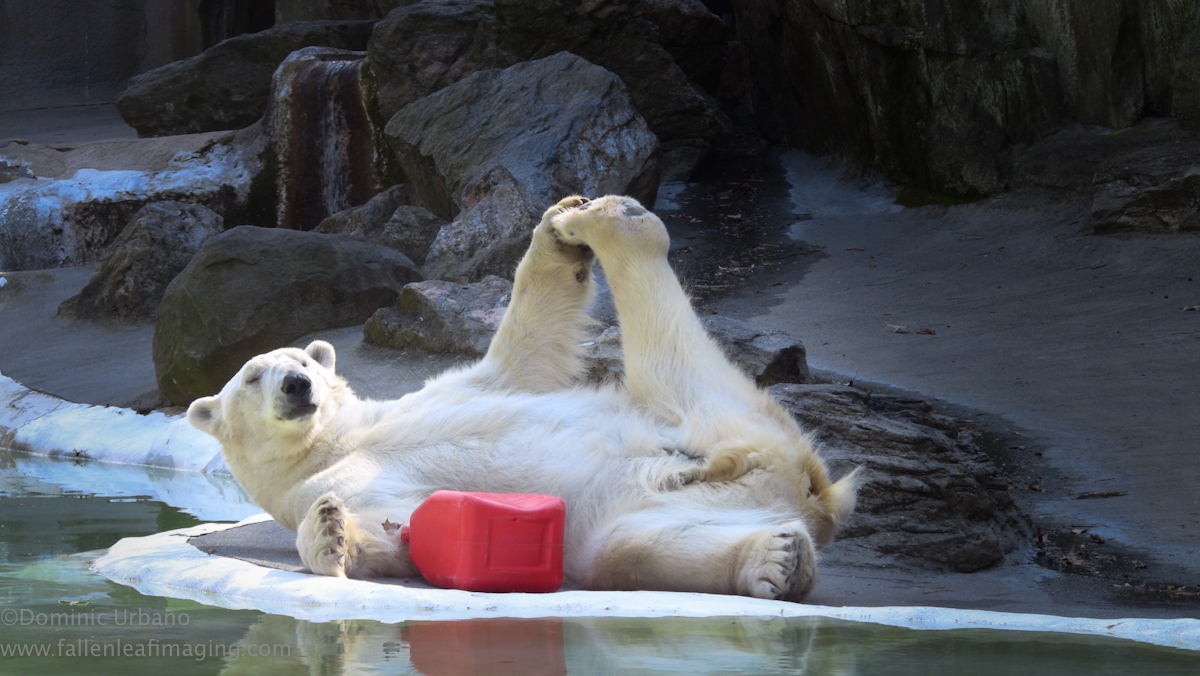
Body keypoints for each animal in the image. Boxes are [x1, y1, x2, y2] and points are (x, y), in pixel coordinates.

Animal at [187, 195, 859, 602]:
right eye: (253, 375)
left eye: (302, 362)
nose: (297, 386)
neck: (335, 440)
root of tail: (803, 488)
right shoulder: (317, 485)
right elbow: (401, 531)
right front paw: (330, 536)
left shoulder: (444, 393)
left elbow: (524, 354)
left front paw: (554, 235)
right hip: (700, 430)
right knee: (631, 545)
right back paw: (776, 562)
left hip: (696, 426)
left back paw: (583, 220)